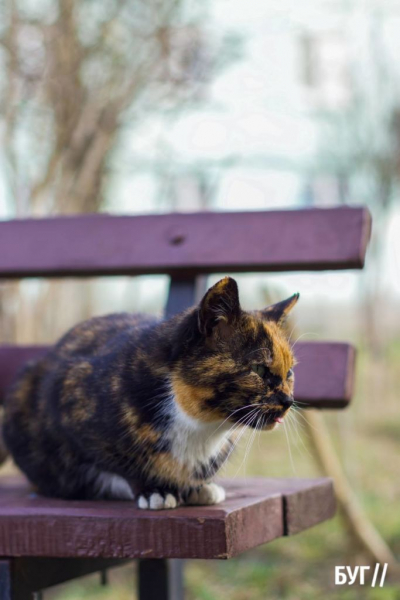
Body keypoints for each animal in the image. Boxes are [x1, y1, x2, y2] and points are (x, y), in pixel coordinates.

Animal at [2, 278, 296, 508]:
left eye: (290, 372)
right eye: (258, 368)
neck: (200, 428)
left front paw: (197, 487)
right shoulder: (67, 395)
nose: (288, 400)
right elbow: (118, 461)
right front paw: (156, 490)